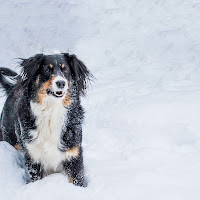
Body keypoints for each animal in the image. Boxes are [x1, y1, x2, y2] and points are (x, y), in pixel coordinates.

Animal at [0, 53, 92, 188]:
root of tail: (13, 88)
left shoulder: (73, 155)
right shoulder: (33, 159)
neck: (51, 111)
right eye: (47, 70)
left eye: (65, 70)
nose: (61, 83)